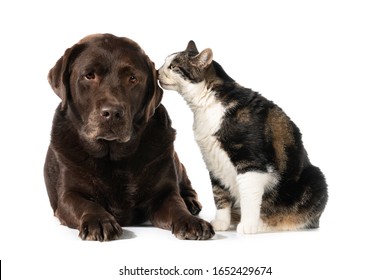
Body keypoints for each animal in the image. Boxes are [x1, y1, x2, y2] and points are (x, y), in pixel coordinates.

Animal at [157, 41, 328, 234]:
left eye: (173, 66)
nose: (157, 71)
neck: (207, 104)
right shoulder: (213, 162)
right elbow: (219, 194)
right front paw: (221, 223)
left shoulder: (250, 161)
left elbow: (249, 196)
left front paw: (248, 225)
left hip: (317, 179)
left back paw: (262, 224)